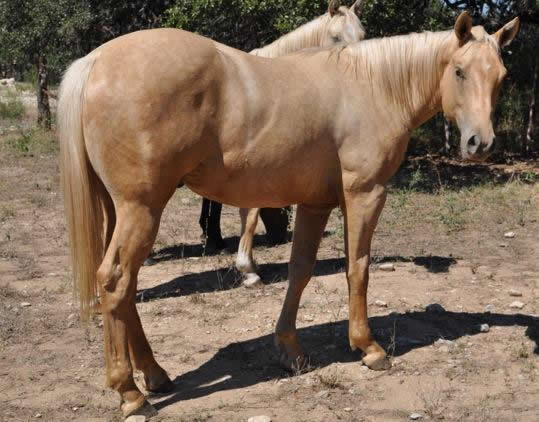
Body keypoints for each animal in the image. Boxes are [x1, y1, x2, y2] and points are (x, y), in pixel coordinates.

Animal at [58, 11, 520, 418]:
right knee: (115, 282)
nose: (480, 143)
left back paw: (153, 374)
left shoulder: (314, 203)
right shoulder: (365, 195)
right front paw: (368, 348)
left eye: (501, 77)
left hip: (123, 210)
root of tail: (96, 61)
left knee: (127, 288)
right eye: (459, 71)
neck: (373, 88)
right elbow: (358, 267)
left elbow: (300, 270)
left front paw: (290, 351)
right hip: (142, 209)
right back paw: (130, 394)